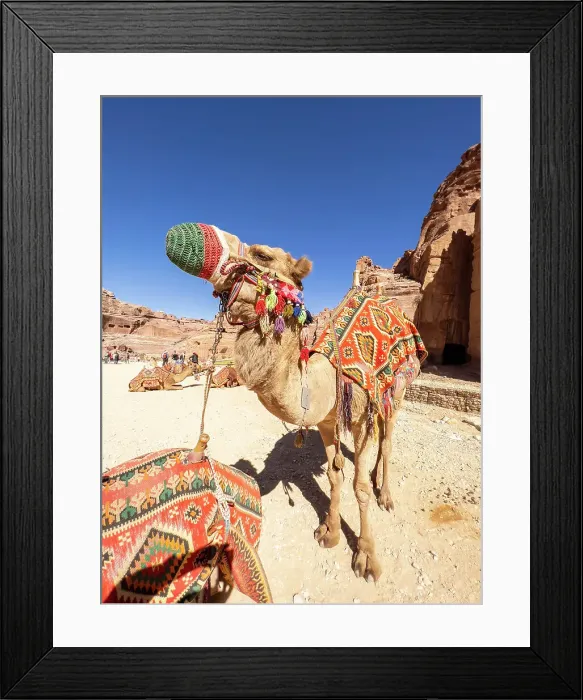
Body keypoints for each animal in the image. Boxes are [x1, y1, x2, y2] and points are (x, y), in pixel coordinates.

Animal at [165, 223, 424, 582]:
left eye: (262, 255)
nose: (182, 237)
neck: (324, 374)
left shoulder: (359, 415)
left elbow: (357, 486)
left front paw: (366, 556)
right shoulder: (326, 422)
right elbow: (334, 477)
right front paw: (329, 532)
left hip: (398, 389)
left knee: (386, 440)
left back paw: (384, 494)